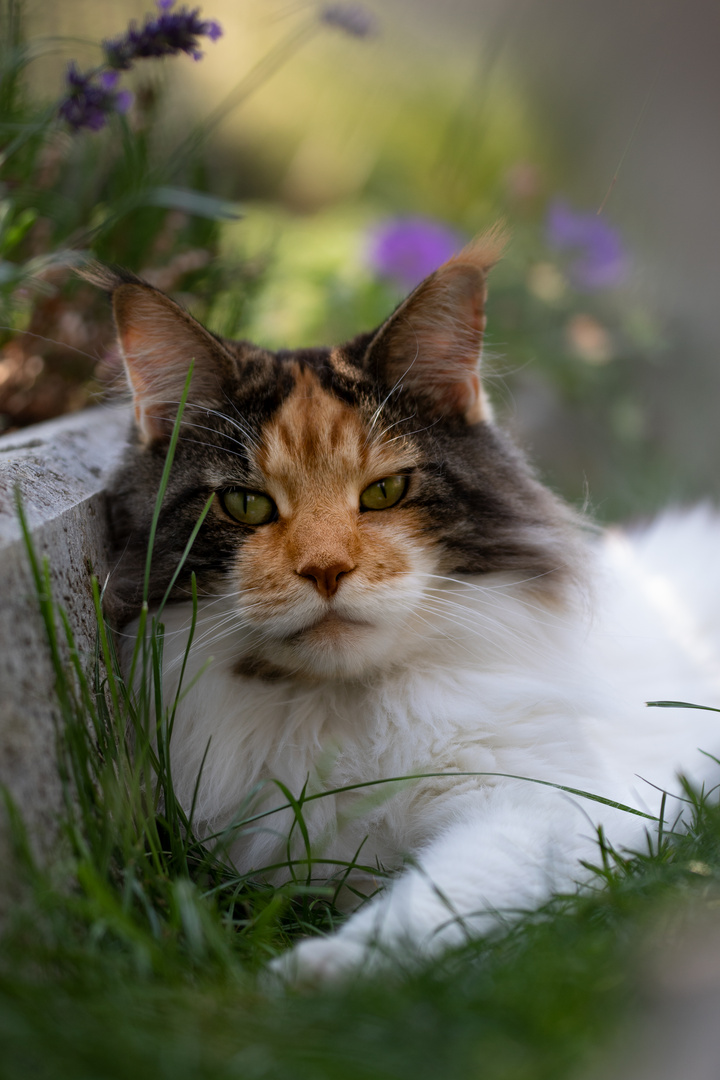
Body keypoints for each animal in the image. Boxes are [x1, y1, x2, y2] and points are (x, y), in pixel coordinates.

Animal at [88, 232, 720, 984]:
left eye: (384, 492)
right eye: (245, 505)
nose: (326, 569)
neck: (339, 711)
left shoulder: (547, 809)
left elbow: (426, 903)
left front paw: (314, 974)